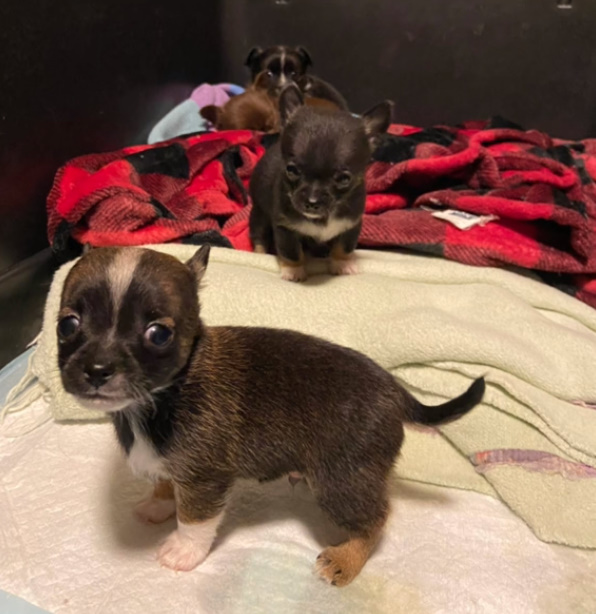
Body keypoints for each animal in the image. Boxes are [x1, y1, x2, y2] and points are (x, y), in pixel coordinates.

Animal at [56, 244, 484, 588]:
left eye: (158, 334)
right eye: (67, 325)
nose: (97, 370)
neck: (160, 396)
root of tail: (396, 391)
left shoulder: (205, 480)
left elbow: (194, 520)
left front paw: (182, 551)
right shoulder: (172, 464)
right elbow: (164, 481)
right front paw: (158, 504)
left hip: (340, 482)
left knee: (376, 519)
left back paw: (345, 560)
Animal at [249, 84, 394, 282]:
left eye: (344, 179)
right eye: (291, 170)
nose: (312, 202)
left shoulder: (351, 225)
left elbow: (344, 247)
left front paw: (342, 264)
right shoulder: (284, 227)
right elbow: (291, 251)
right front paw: (294, 270)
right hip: (259, 212)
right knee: (259, 235)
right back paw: (260, 252)